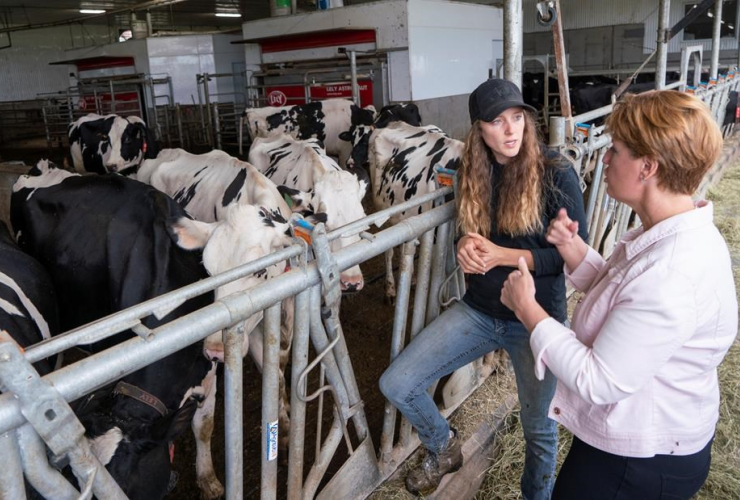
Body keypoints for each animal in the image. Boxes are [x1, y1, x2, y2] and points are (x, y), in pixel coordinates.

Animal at [10, 161, 292, 500]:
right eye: (208, 274)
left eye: (260, 271)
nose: (215, 349)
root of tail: (43, 166)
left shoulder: (209, 372)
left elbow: (206, 424)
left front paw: (209, 479)